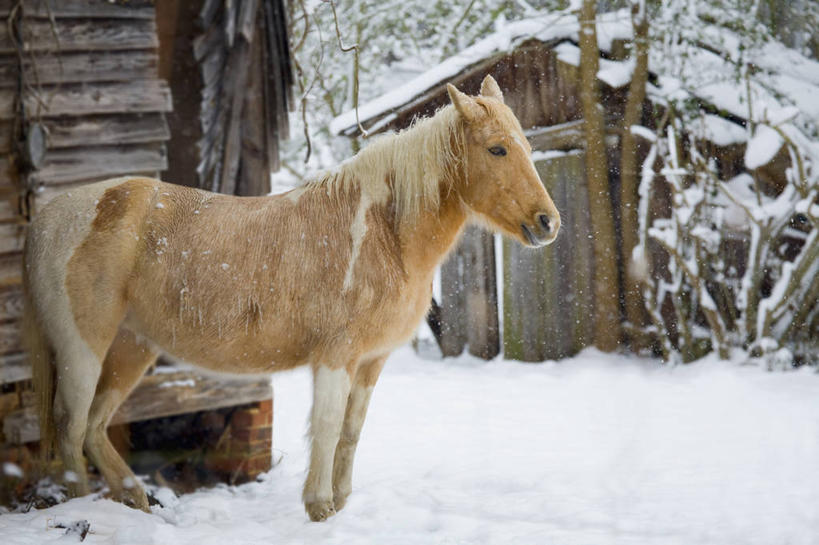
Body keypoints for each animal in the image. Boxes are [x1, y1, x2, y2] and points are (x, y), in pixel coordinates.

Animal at [25, 75, 560, 520]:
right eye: (496, 149)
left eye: (525, 145)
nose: (547, 223)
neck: (378, 232)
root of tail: (54, 214)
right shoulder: (335, 357)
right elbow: (325, 427)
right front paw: (319, 507)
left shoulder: (372, 361)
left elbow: (351, 431)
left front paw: (340, 503)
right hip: (84, 346)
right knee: (71, 428)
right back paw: (80, 511)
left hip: (133, 347)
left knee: (94, 427)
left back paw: (132, 498)